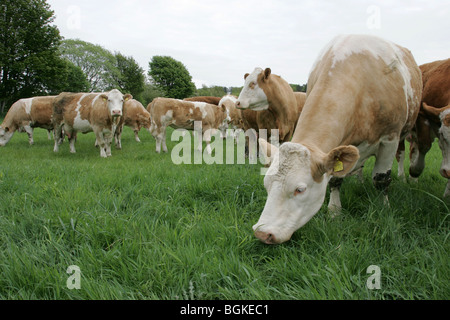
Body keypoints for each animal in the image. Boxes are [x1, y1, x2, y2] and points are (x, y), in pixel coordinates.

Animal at [250, 35, 422, 244]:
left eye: (300, 189)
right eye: (266, 185)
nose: (262, 233)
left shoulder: (390, 138)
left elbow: (381, 179)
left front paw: (384, 207)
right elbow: (335, 180)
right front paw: (334, 210)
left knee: (401, 157)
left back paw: (404, 177)